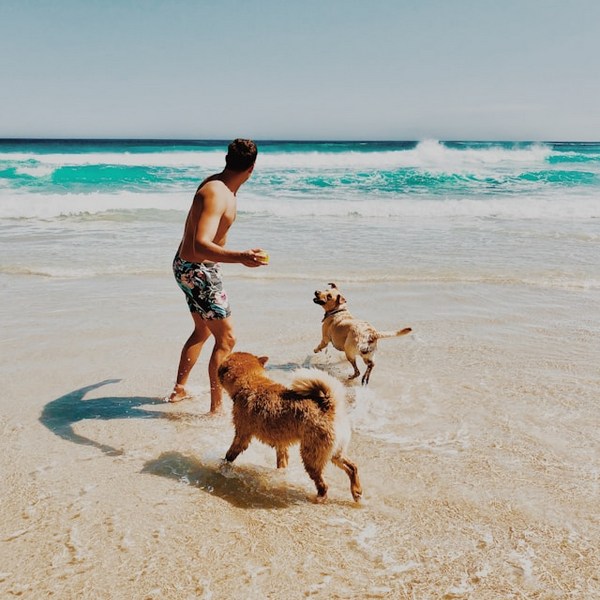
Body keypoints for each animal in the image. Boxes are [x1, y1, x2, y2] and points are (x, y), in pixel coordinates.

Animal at [219, 352, 364, 502]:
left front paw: (223, 466)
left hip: (311, 456)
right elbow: (282, 462)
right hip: (334, 453)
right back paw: (356, 491)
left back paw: (319, 498)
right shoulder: (281, 444)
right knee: (352, 467)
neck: (251, 382)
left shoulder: (242, 435)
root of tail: (330, 407)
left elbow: (230, 454)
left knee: (324, 485)